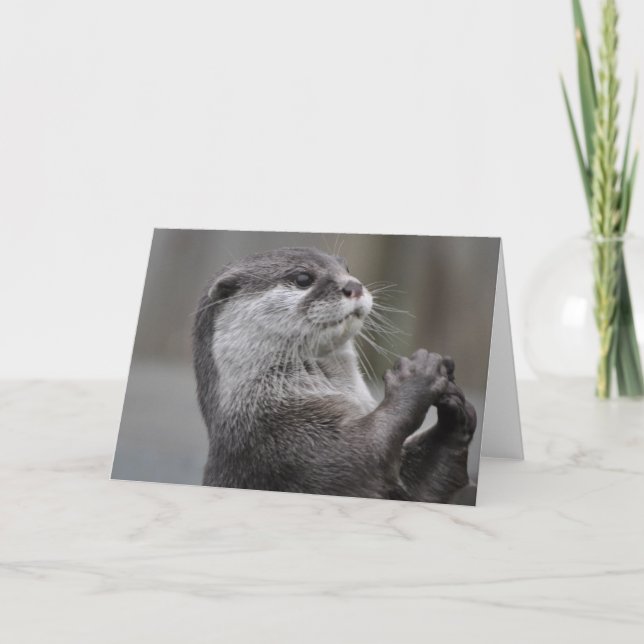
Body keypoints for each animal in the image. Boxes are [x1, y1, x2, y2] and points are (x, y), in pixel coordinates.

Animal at [192, 247, 476, 503]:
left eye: (346, 269)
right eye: (303, 278)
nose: (354, 285)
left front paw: (455, 412)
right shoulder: (286, 446)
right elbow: (362, 454)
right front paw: (417, 375)